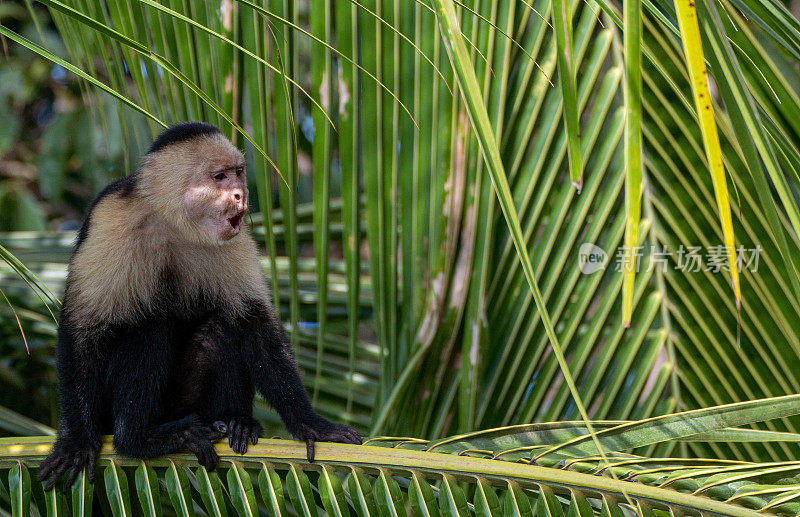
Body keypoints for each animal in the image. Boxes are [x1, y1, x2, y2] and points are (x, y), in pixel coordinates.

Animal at [37, 123, 360, 490]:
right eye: (219, 177)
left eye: (238, 173)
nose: (240, 195)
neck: (172, 224)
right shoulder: (111, 218)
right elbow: (84, 326)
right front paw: (76, 442)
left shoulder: (234, 237)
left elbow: (254, 322)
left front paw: (311, 424)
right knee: (151, 325)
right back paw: (138, 438)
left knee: (222, 325)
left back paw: (235, 421)